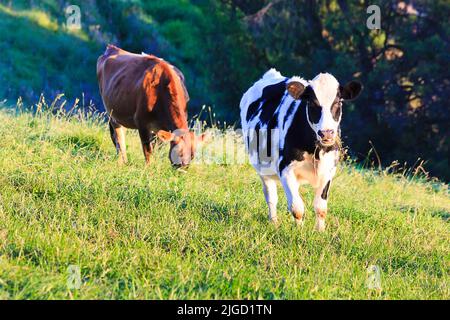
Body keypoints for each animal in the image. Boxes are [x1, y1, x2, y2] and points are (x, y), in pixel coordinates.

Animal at [239, 69, 362, 230]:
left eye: (338, 102)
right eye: (311, 103)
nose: (326, 133)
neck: (315, 150)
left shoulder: (328, 170)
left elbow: (321, 207)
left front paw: (320, 231)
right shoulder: (285, 169)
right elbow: (297, 208)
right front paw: (299, 231)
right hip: (263, 169)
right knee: (271, 197)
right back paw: (274, 222)